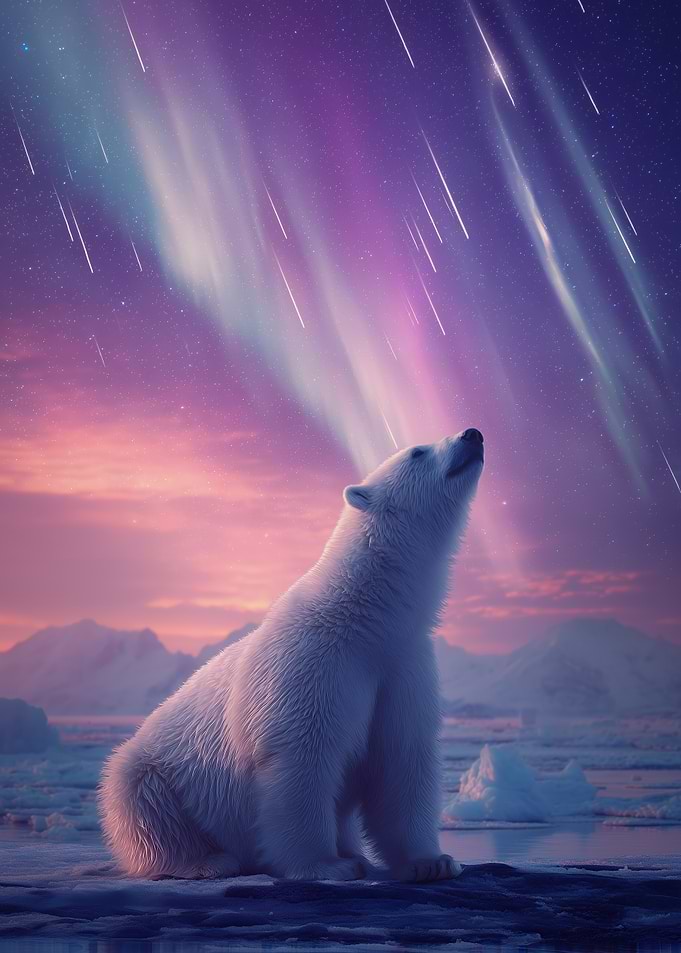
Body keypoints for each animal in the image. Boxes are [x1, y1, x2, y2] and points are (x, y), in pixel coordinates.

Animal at [99, 427, 485, 882]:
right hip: (152, 773)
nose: (473, 434)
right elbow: (301, 759)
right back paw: (208, 861)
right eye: (417, 451)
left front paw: (432, 861)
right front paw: (327, 864)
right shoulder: (311, 664)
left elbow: (401, 760)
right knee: (145, 807)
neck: (364, 620)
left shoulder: (402, 666)